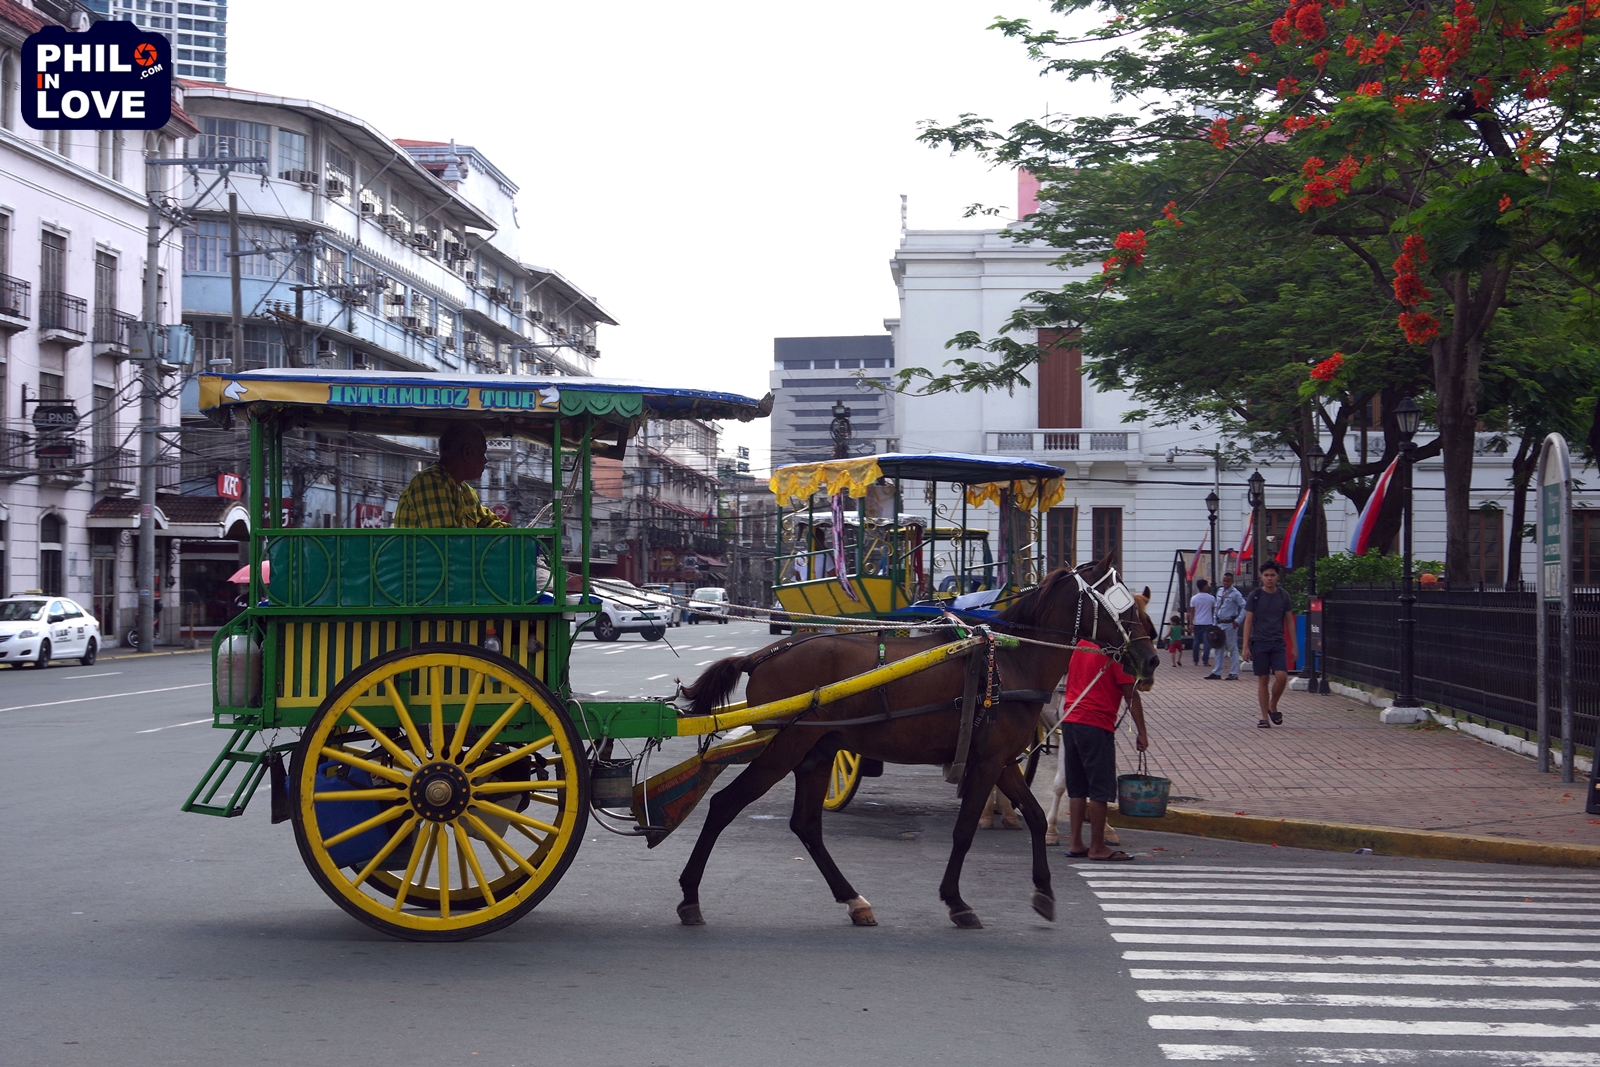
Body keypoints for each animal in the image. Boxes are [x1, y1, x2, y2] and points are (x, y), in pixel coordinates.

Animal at [674, 554, 1161, 929]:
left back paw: (854, 901)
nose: (1151, 658)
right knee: (725, 805)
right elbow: (964, 831)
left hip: (817, 752)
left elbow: (1037, 818)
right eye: (1123, 606)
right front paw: (957, 902)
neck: (1012, 660)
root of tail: (763, 655)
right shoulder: (987, 764)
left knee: (807, 825)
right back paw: (690, 895)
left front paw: (1043, 891)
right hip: (785, 747)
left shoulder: (1001, 761)